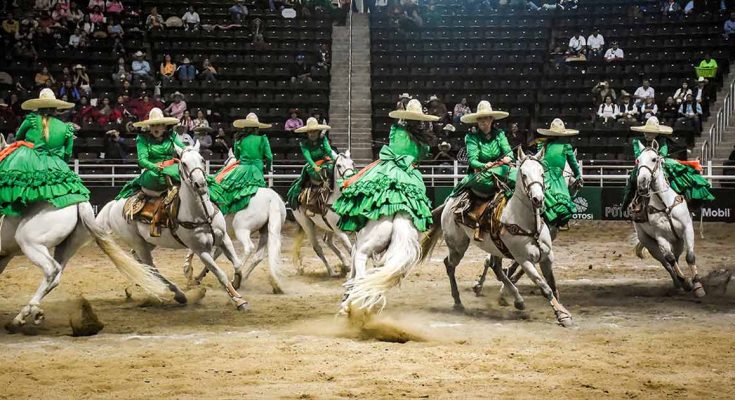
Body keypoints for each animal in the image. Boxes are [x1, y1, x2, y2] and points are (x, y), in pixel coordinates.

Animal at [0, 136, 183, 330]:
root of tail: (78, 202)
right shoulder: (4, 255)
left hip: (30, 243)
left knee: (52, 270)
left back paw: (32, 312)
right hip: (70, 246)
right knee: (56, 275)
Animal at [98, 143, 250, 310]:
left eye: (202, 159)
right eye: (184, 163)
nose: (200, 184)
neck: (202, 215)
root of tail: (114, 204)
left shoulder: (224, 239)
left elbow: (237, 264)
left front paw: (236, 283)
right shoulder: (201, 251)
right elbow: (220, 273)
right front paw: (239, 300)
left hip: (148, 242)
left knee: (140, 260)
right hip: (138, 243)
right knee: (152, 267)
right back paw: (178, 294)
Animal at [183, 152, 288, 292]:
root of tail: (272, 199)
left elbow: (195, 250)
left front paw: (188, 269)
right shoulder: (223, 236)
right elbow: (214, 255)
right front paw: (199, 277)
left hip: (241, 229)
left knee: (249, 248)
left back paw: (236, 278)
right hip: (266, 232)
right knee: (258, 256)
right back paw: (244, 277)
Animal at [420, 148, 576, 326]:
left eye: (542, 173)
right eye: (524, 175)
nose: (538, 199)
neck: (528, 225)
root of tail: (450, 202)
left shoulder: (547, 257)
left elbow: (553, 286)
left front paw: (562, 312)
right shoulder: (524, 260)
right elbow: (545, 287)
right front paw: (563, 315)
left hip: (495, 247)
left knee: (496, 268)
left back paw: (517, 300)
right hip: (458, 246)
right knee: (450, 265)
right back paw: (458, 302)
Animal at [632, 141, 708, 296]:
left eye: (654, 159)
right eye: (638, 160)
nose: (642, 183)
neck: (665, 205)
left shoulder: (687, 229)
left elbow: (690, 257)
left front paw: (698, 285)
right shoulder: (660, 237)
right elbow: (670, 260)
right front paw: (686, 282)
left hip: (678, 241)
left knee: (677, 258)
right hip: (650, 243)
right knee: (667, 263)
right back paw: (679, 283)